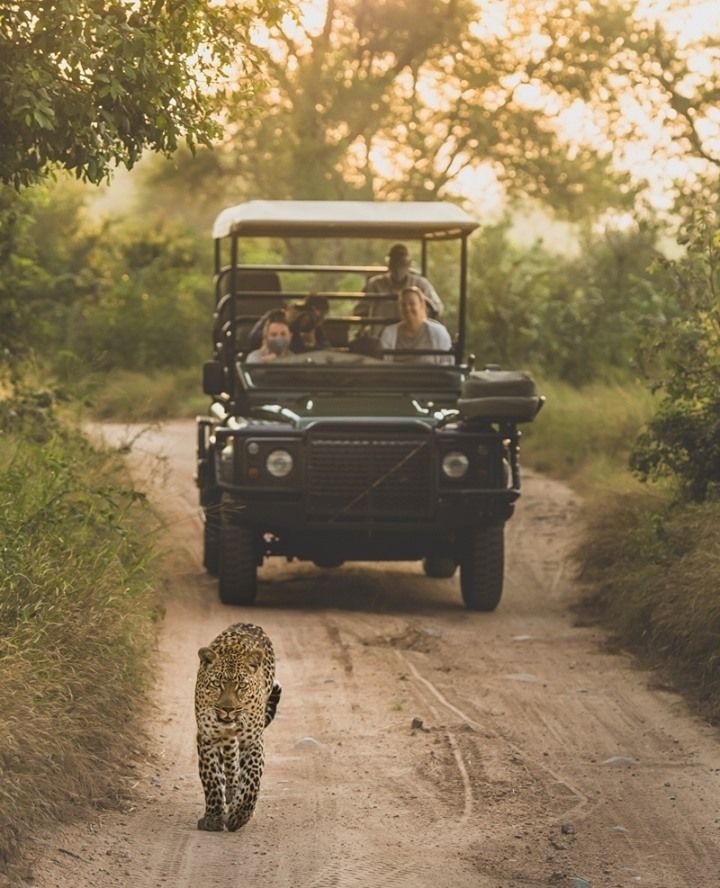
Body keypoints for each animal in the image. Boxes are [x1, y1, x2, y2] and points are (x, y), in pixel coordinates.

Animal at [194, 622, 281, 832]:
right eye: (217, 684)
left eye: (241, 686)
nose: (228, 709)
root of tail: (249, 623)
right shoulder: (207, 738)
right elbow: (212, 780)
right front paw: (214, 818)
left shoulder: (253, 741)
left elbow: (252, 780)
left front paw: (239, 816)